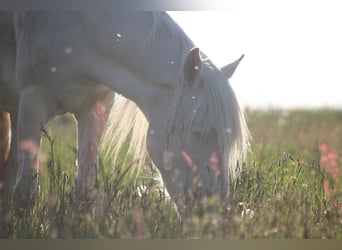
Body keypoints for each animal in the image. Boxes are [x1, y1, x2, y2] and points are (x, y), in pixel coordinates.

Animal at [0, 11, 250, 213]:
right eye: (200, 132)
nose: (213, 212)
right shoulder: (33, 103)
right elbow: (26, 196)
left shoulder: (94, 109)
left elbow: (84, 190)